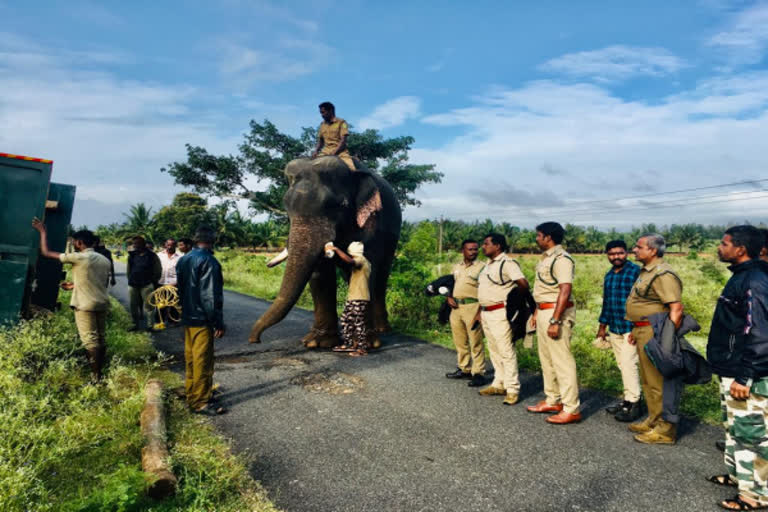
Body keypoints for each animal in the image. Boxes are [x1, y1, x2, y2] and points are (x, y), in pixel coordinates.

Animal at [249, 156, 404, 348]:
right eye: (286, 207)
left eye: (340, 205)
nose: (255, 340)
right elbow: (321, 272)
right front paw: (317, 343)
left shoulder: (373, 221)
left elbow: (368, 266)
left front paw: (367, 344)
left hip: (393, 237)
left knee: (381, 276)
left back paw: (382, 330)